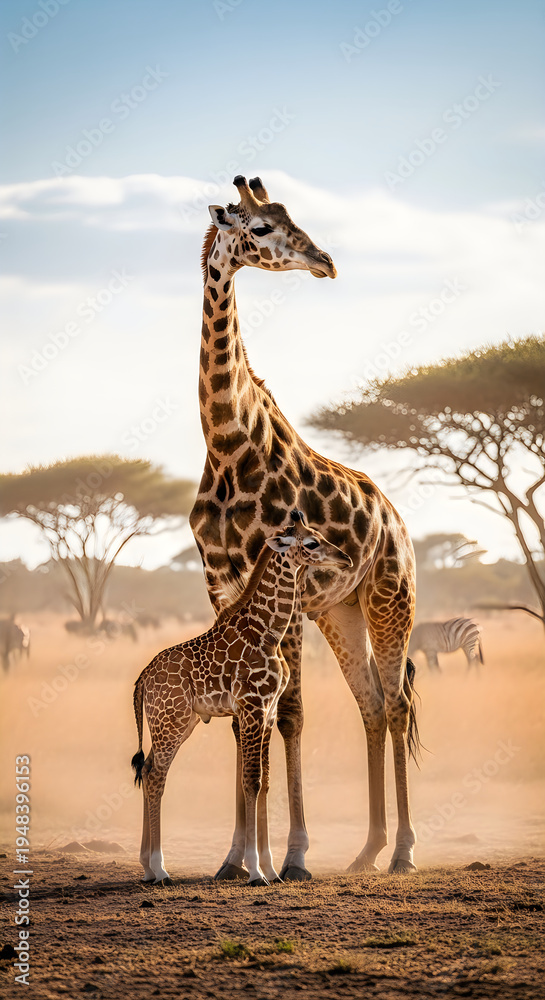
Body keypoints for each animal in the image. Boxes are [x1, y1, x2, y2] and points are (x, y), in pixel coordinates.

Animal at [131, 511, 352, 885]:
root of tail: (142, 680)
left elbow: (264, 783)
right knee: (156, 775)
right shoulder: (252, 706)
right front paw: (255, 871)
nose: (346, 558)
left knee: (146, 771)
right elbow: (251, 780)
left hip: (178, 722)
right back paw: (160, 869)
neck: (268, 631)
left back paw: (147, 869)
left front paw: (270, 869)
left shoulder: (268, 710)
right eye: (312, 543)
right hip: (170, 721)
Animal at [189, 175, 419, 879]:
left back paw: (403, 851)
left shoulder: (279, 585)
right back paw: (367, 850)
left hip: (388, 599)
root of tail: (401, 525)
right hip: (338, 610)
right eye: (261, 227)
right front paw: (234, 859)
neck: (227, 446)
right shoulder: (221, 586)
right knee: (370, 703)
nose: (326, 261)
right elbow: (242, 718)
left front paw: (288, 856)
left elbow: (287, 713)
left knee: (396, 703)